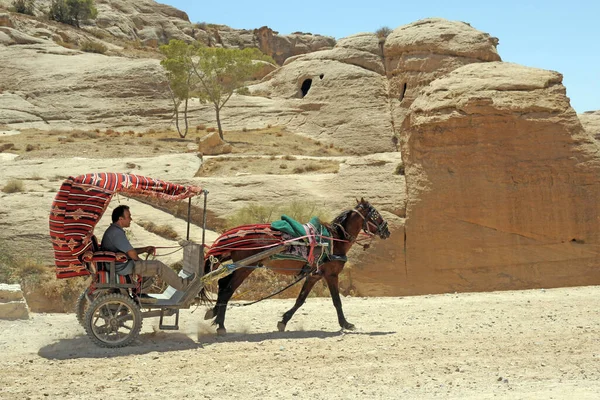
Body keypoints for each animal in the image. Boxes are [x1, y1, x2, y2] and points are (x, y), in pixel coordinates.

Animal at [199, 199, 392, 334]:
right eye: (375, 215)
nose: (387, 231)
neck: (334, 240)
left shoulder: (314, 275)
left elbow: (300, 299)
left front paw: (283, 321)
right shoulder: (331, 275)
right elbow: (337, 301)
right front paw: (346, 324)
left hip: (242, 267)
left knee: (223, 284)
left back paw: (214, 314)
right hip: (246, 267)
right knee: (227, 289)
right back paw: (221, 325)